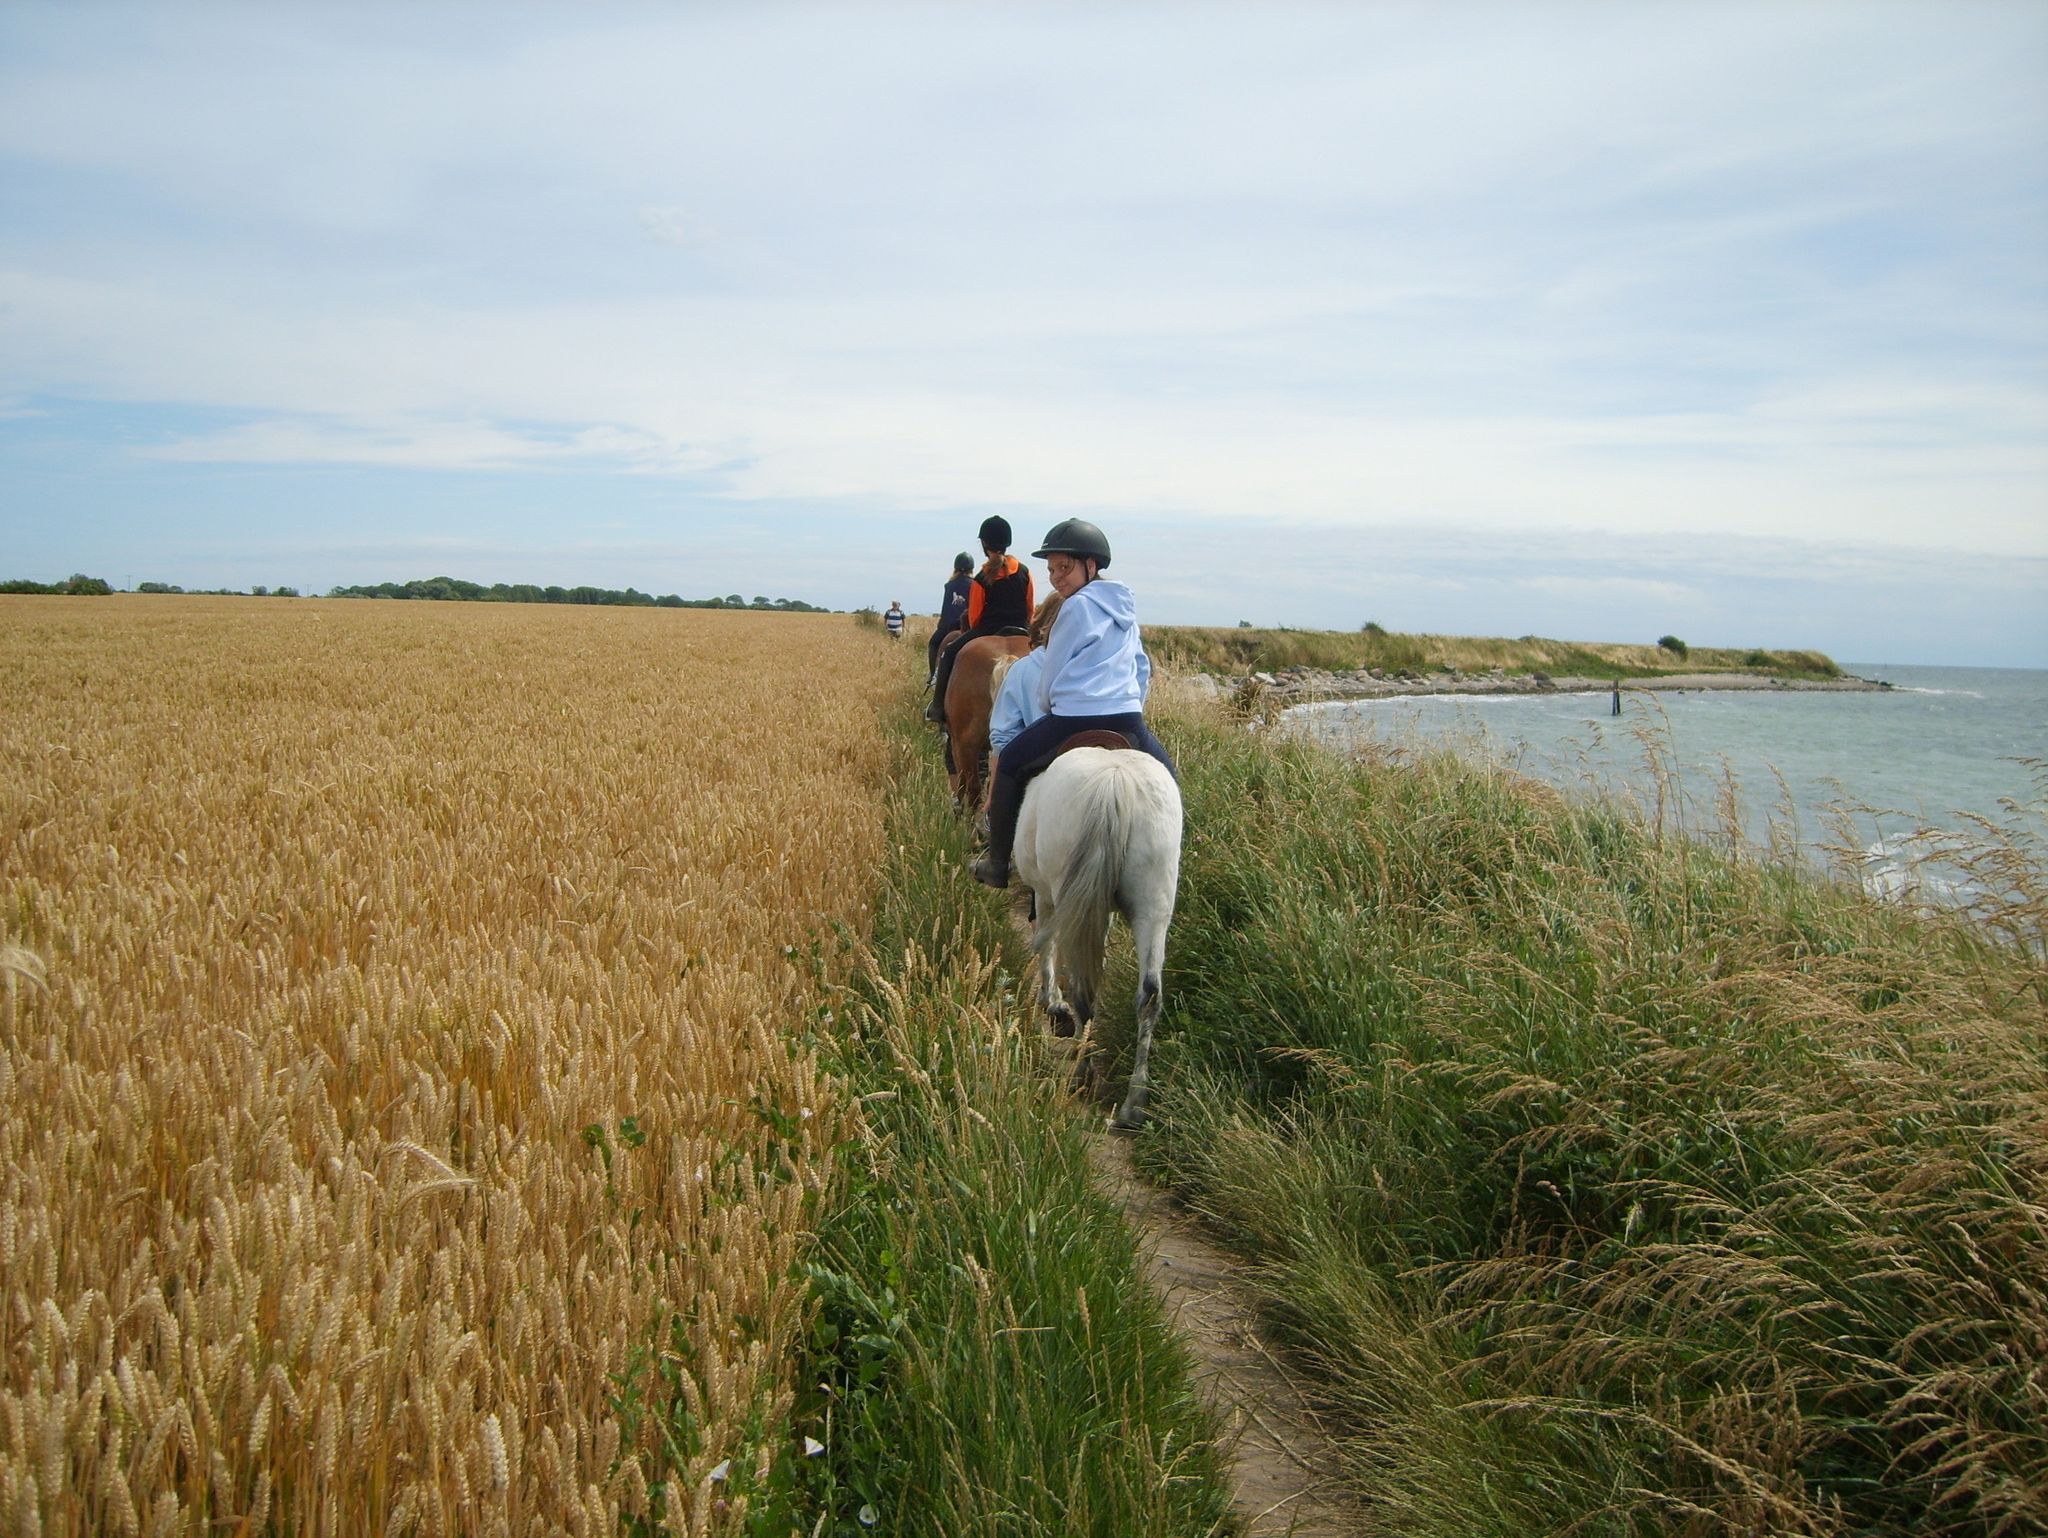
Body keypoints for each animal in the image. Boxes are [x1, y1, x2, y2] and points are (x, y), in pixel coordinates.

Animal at [1011, 745, 1187, 1130]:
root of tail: (1114, 782)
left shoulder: (1046, 895)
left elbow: (1046, 944)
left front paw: (1053, 1003)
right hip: (1153, 904)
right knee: (1149, 995)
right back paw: (1134, 1105)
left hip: (1067, 891)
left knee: (1083, 988)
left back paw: (1083, 1070)